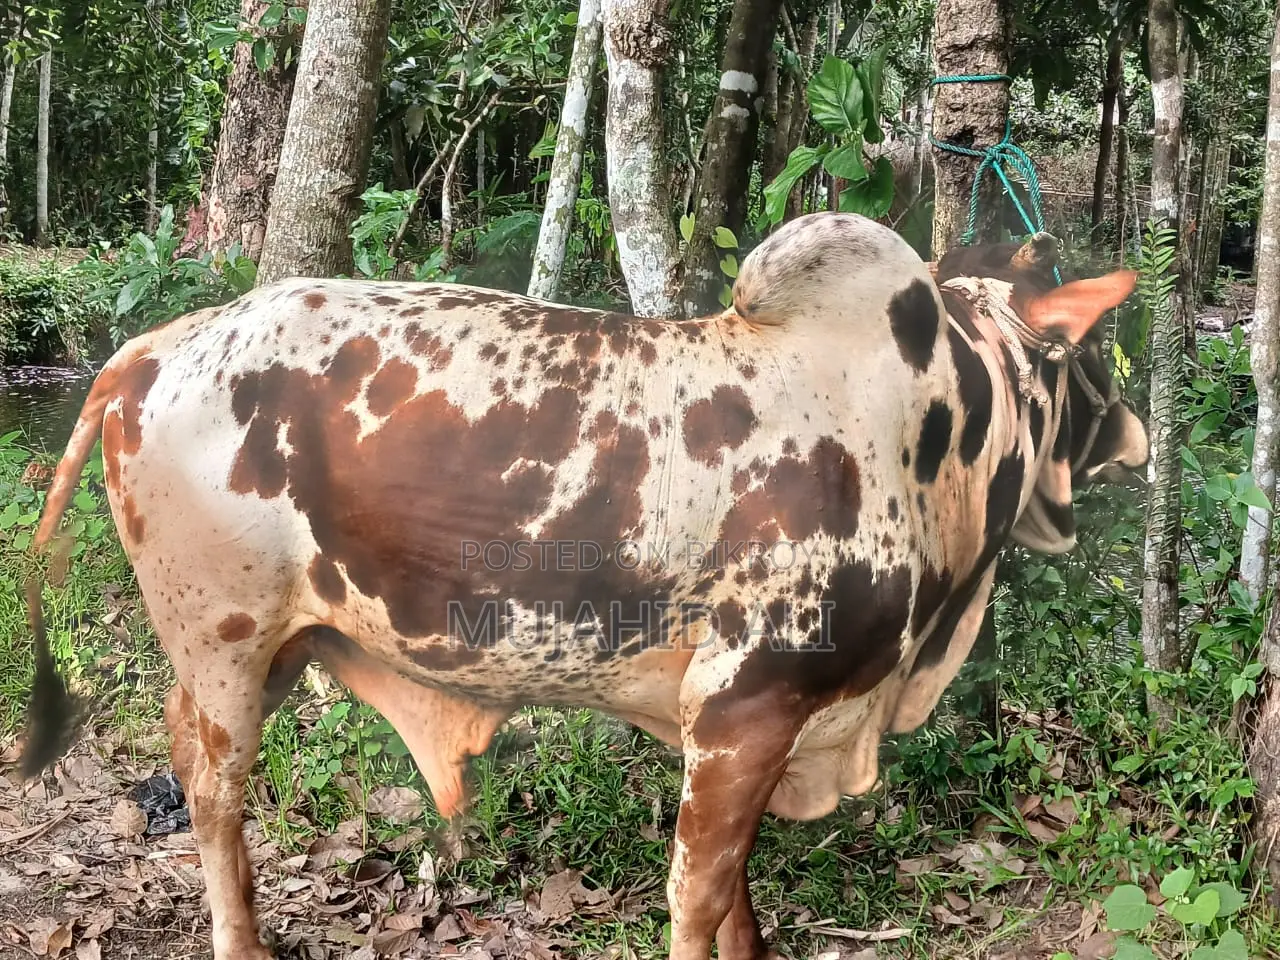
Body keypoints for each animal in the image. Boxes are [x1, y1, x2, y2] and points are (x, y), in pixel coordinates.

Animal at [19, 212, 1148, 960]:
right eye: (1082, 354)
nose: (1131, 435)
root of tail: (156, 347)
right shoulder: (744, 704)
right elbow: (699, 897)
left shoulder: (752, 727)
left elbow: (738, 895)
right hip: (226, 639)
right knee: (213, 794)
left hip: (271, 646)